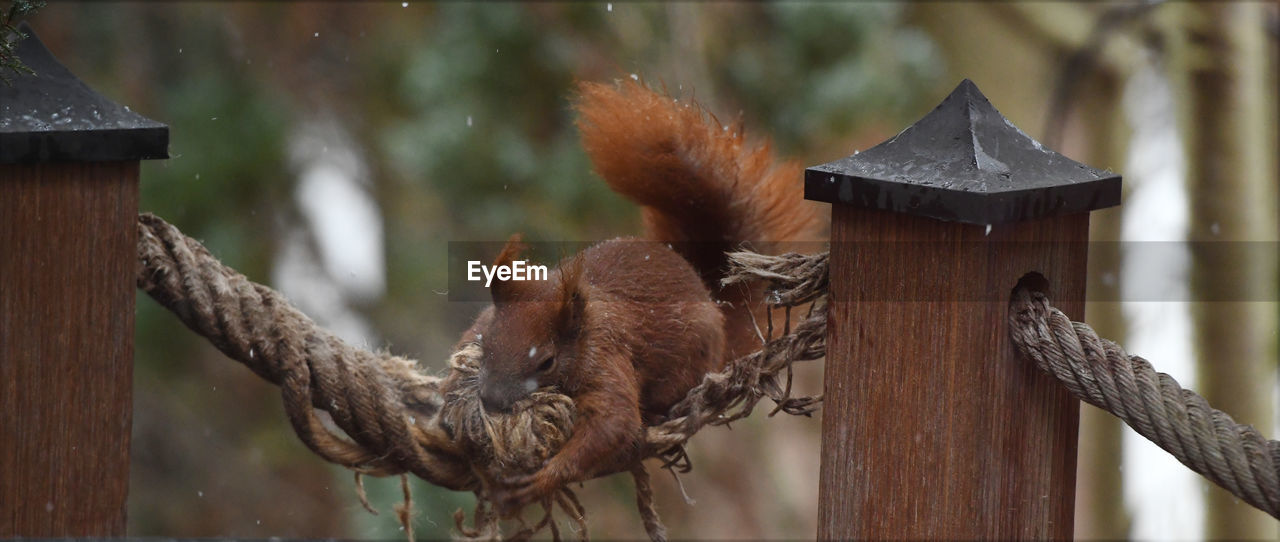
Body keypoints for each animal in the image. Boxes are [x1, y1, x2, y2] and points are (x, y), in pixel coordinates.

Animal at [458, 78, 819, 512]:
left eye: (546, 362)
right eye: (487, 342)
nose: (492, 400)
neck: (582, 327)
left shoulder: (605, 358)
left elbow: (613, 424)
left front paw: (542, 480)